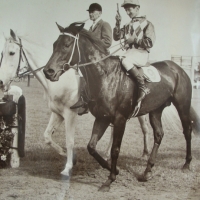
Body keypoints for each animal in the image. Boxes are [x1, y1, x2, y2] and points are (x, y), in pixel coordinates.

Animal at [0, 29, 150, 175]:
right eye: (2, 53)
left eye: (12, 53)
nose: (1, 82)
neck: (59, 82)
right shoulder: (57, 113)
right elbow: (47, 137)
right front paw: (72, 157)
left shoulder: (70, 114)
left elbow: (70, 141)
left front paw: (68, 166)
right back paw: (108, 155)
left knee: (145, 129)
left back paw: (145, 155)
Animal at [43, 22, 200, 191]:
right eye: (54, 44)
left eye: (67, 44)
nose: (48, 71)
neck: (106, 76)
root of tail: (177, 68)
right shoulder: (102, 118)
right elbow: (91, 147)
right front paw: (115, 170)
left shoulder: (120, 120)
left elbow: (115, 149)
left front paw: (110, 179)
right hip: (155, 111)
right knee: (159, 134)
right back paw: (147, 171)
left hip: (182, 106)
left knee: (187, 130)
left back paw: (186, 163)